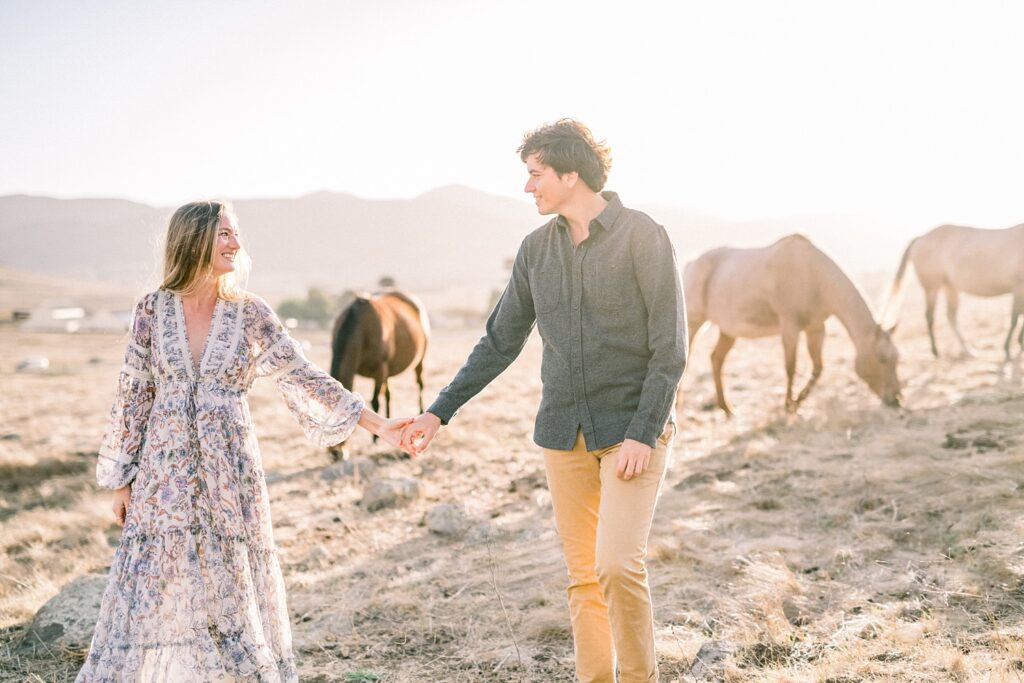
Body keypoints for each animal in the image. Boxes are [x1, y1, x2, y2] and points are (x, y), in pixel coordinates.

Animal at [329, 290, 430, 458]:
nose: (335, 454)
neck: (362, 328)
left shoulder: (380, 369)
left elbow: (375, 401)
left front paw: (375, 439)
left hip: (419, 360)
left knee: (420, 385)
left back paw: (421, 412)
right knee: (389, 394)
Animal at [684, 233, 901, 417]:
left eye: (896, 359)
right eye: (882, 358)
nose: (895, 399)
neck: (813, 274)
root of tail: (691, 263)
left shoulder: (816, 329)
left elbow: (818, 368)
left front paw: (797, 402)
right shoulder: (789, 326)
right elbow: (790, 366)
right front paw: (789, 405)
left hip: (728, 331)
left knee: (716, 359)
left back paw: (727, 409)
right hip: (693, 323)